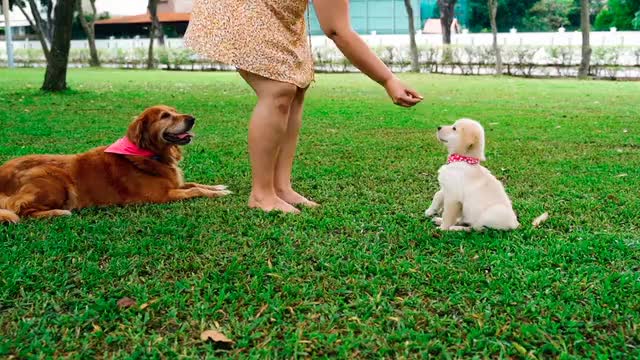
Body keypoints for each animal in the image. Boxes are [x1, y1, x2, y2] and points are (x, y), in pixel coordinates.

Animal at [0, 104, 230, 224]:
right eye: (165, 116)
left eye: (175, 111)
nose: (192, 118)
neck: (150, 154)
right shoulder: (162, 196)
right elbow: (195, 190)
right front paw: (217, 193)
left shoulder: (174, 184)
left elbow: (195, 184)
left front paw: (218, 187)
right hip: (54, 178)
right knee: (21, 210)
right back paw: (58, 213)